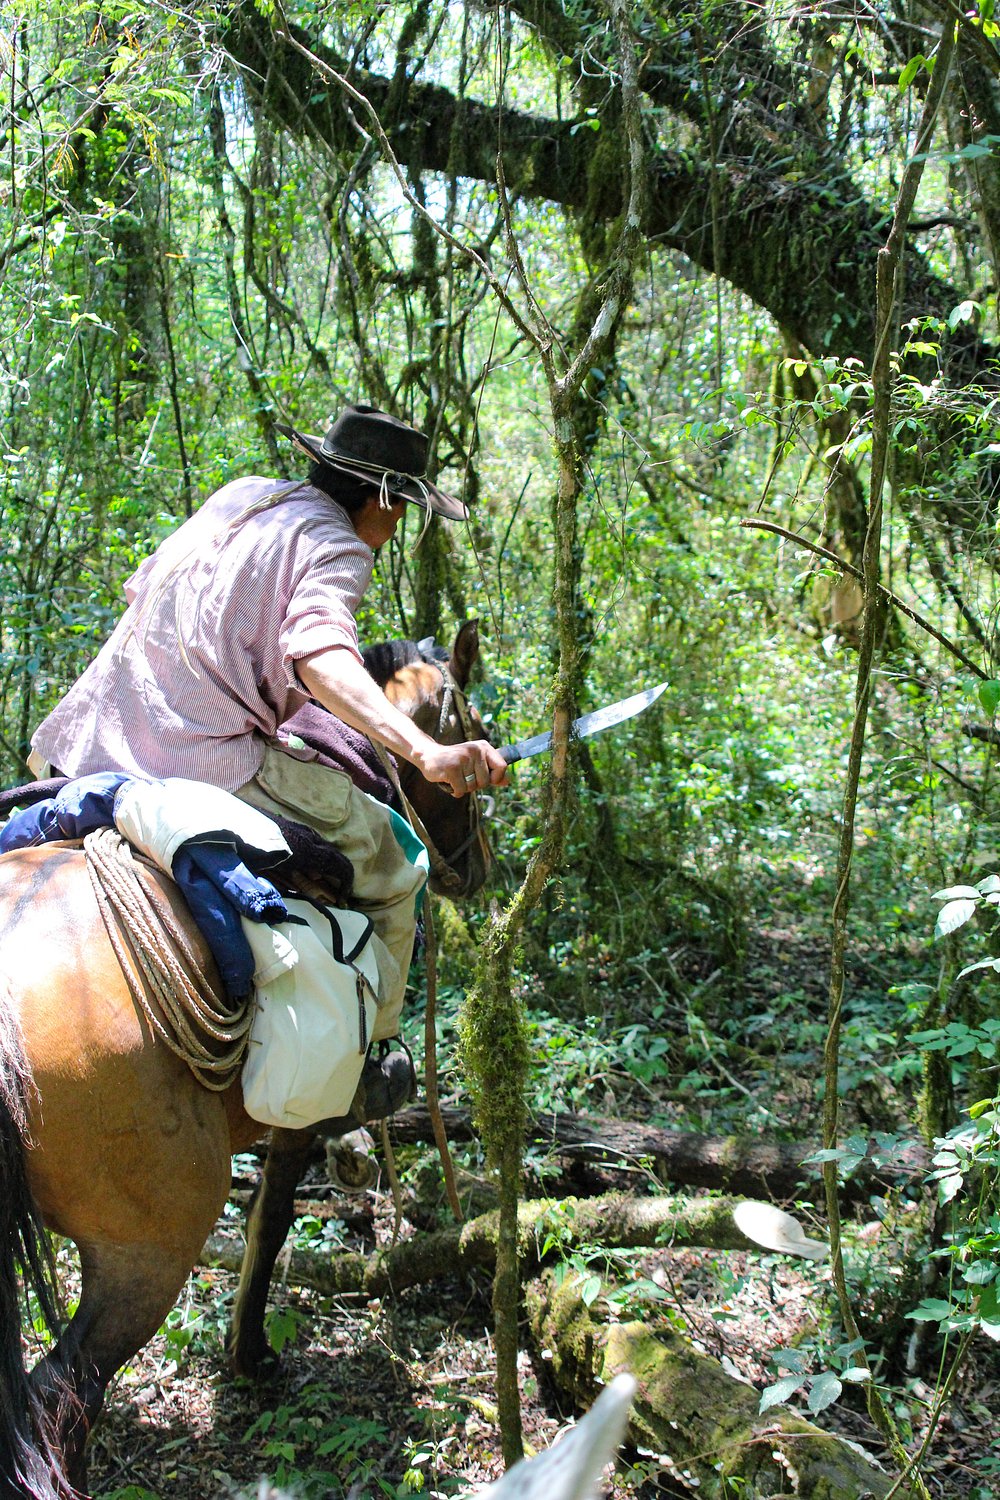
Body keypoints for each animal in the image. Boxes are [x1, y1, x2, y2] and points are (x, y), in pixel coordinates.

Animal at [0, 621, 494, 1499]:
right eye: (472, 729)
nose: (477, 866)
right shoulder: (297, 1119)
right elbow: (272, 1217)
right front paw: (251, 1353)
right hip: (150, 1244)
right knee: (63, 1391)